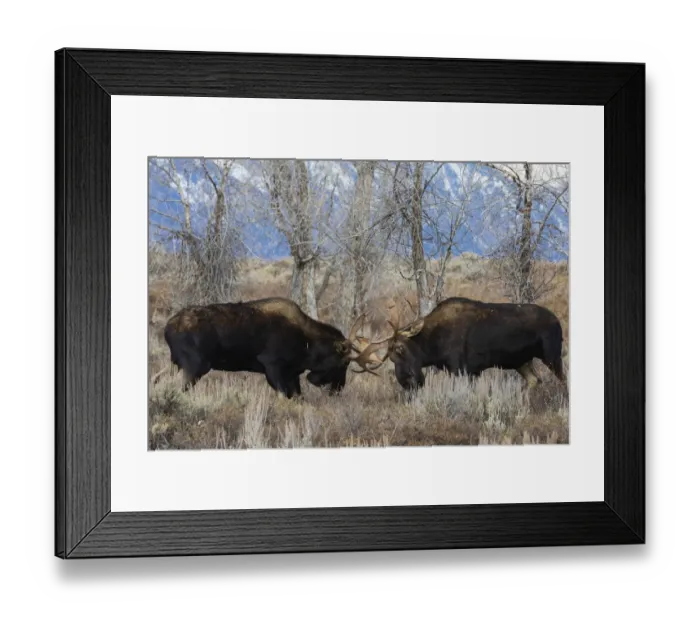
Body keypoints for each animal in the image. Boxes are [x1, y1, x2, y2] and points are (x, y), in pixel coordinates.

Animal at [160, 297, 382, 397]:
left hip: (176, 363)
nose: (338, 389)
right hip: (195, 365)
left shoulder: (292, 373)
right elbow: (285, 396)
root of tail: (166, 328)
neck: (308, 348)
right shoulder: (272, 366)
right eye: (344, 363)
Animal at [360, 297, 566, 391]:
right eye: (390, 358)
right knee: (534, 381)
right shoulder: (471, 371)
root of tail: (558, 321)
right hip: (522, 362)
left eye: (400, 348)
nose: (407, 382)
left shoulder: (460, 369)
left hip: (552, 355)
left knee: (563, 381)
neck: (433, 345)